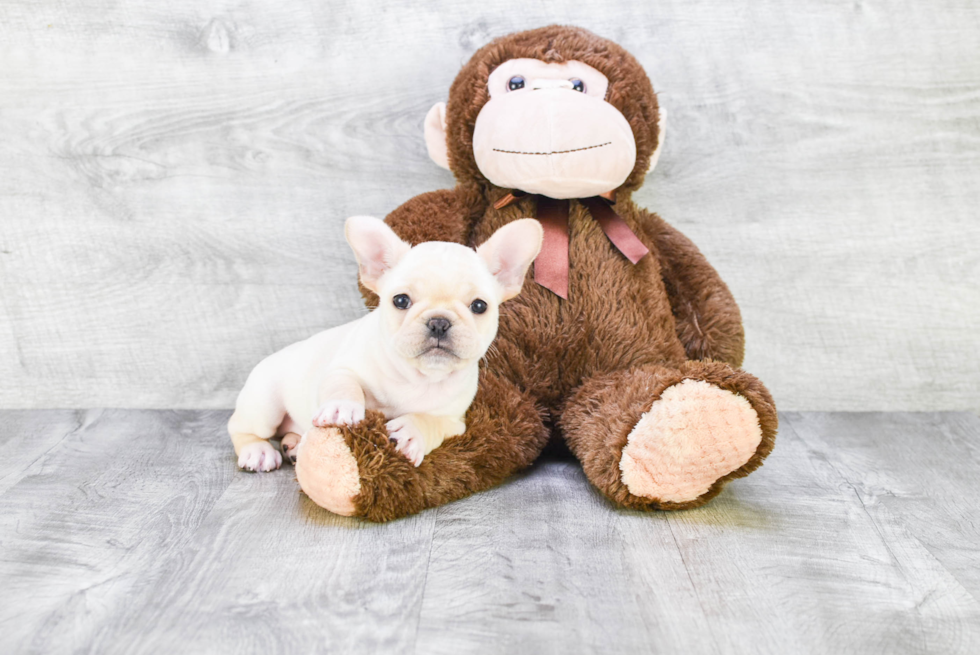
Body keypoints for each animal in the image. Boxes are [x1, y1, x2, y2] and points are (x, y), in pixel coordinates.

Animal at [228, 215, 544, 472]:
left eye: (479, 306)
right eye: (401, 301)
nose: (439, 322)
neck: (419, 377)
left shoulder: (455, 421)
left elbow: (433, 423)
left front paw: (412, 431)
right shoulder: (344, 367)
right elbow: (343, 383)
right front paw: (342, 407)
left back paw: (293, 444)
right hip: (265, 404)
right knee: (239, 426)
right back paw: (258, 451)